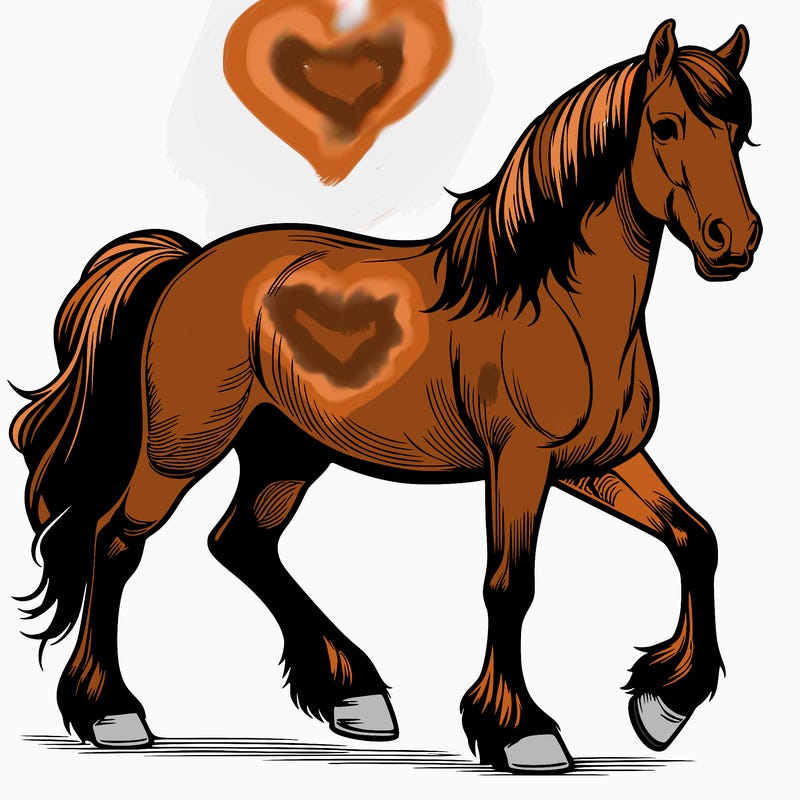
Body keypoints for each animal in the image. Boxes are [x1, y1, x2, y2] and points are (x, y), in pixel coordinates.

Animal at [11, 19, 761, 773]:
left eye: (741, 131)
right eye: (665, 125)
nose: (736, 240)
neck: (554, 303)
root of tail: (187, 263)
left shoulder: (598, 462)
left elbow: (696, 538)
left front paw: (664, 706)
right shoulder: (520, 463)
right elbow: (509, 585)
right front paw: (522, 732)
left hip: (286, 452)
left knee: (241, 542)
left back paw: (354, 695)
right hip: (182, 448)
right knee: (115, 541)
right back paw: (112, 713)